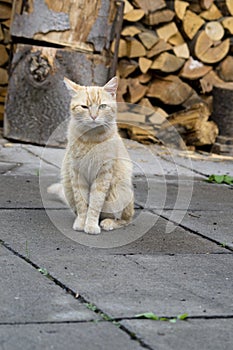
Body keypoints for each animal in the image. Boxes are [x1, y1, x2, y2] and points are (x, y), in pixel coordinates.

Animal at [48, 77, 134, 235]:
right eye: (84, 107)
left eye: (102, 106)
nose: (94, 116)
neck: (91, 139)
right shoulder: (76, 173)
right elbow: (82, 204)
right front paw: (82, 223)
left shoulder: (103, 175)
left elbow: (95, 203)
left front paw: (91, 225)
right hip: (67, 185)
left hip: (120, 190)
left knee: (126, 219)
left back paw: (108, 222)